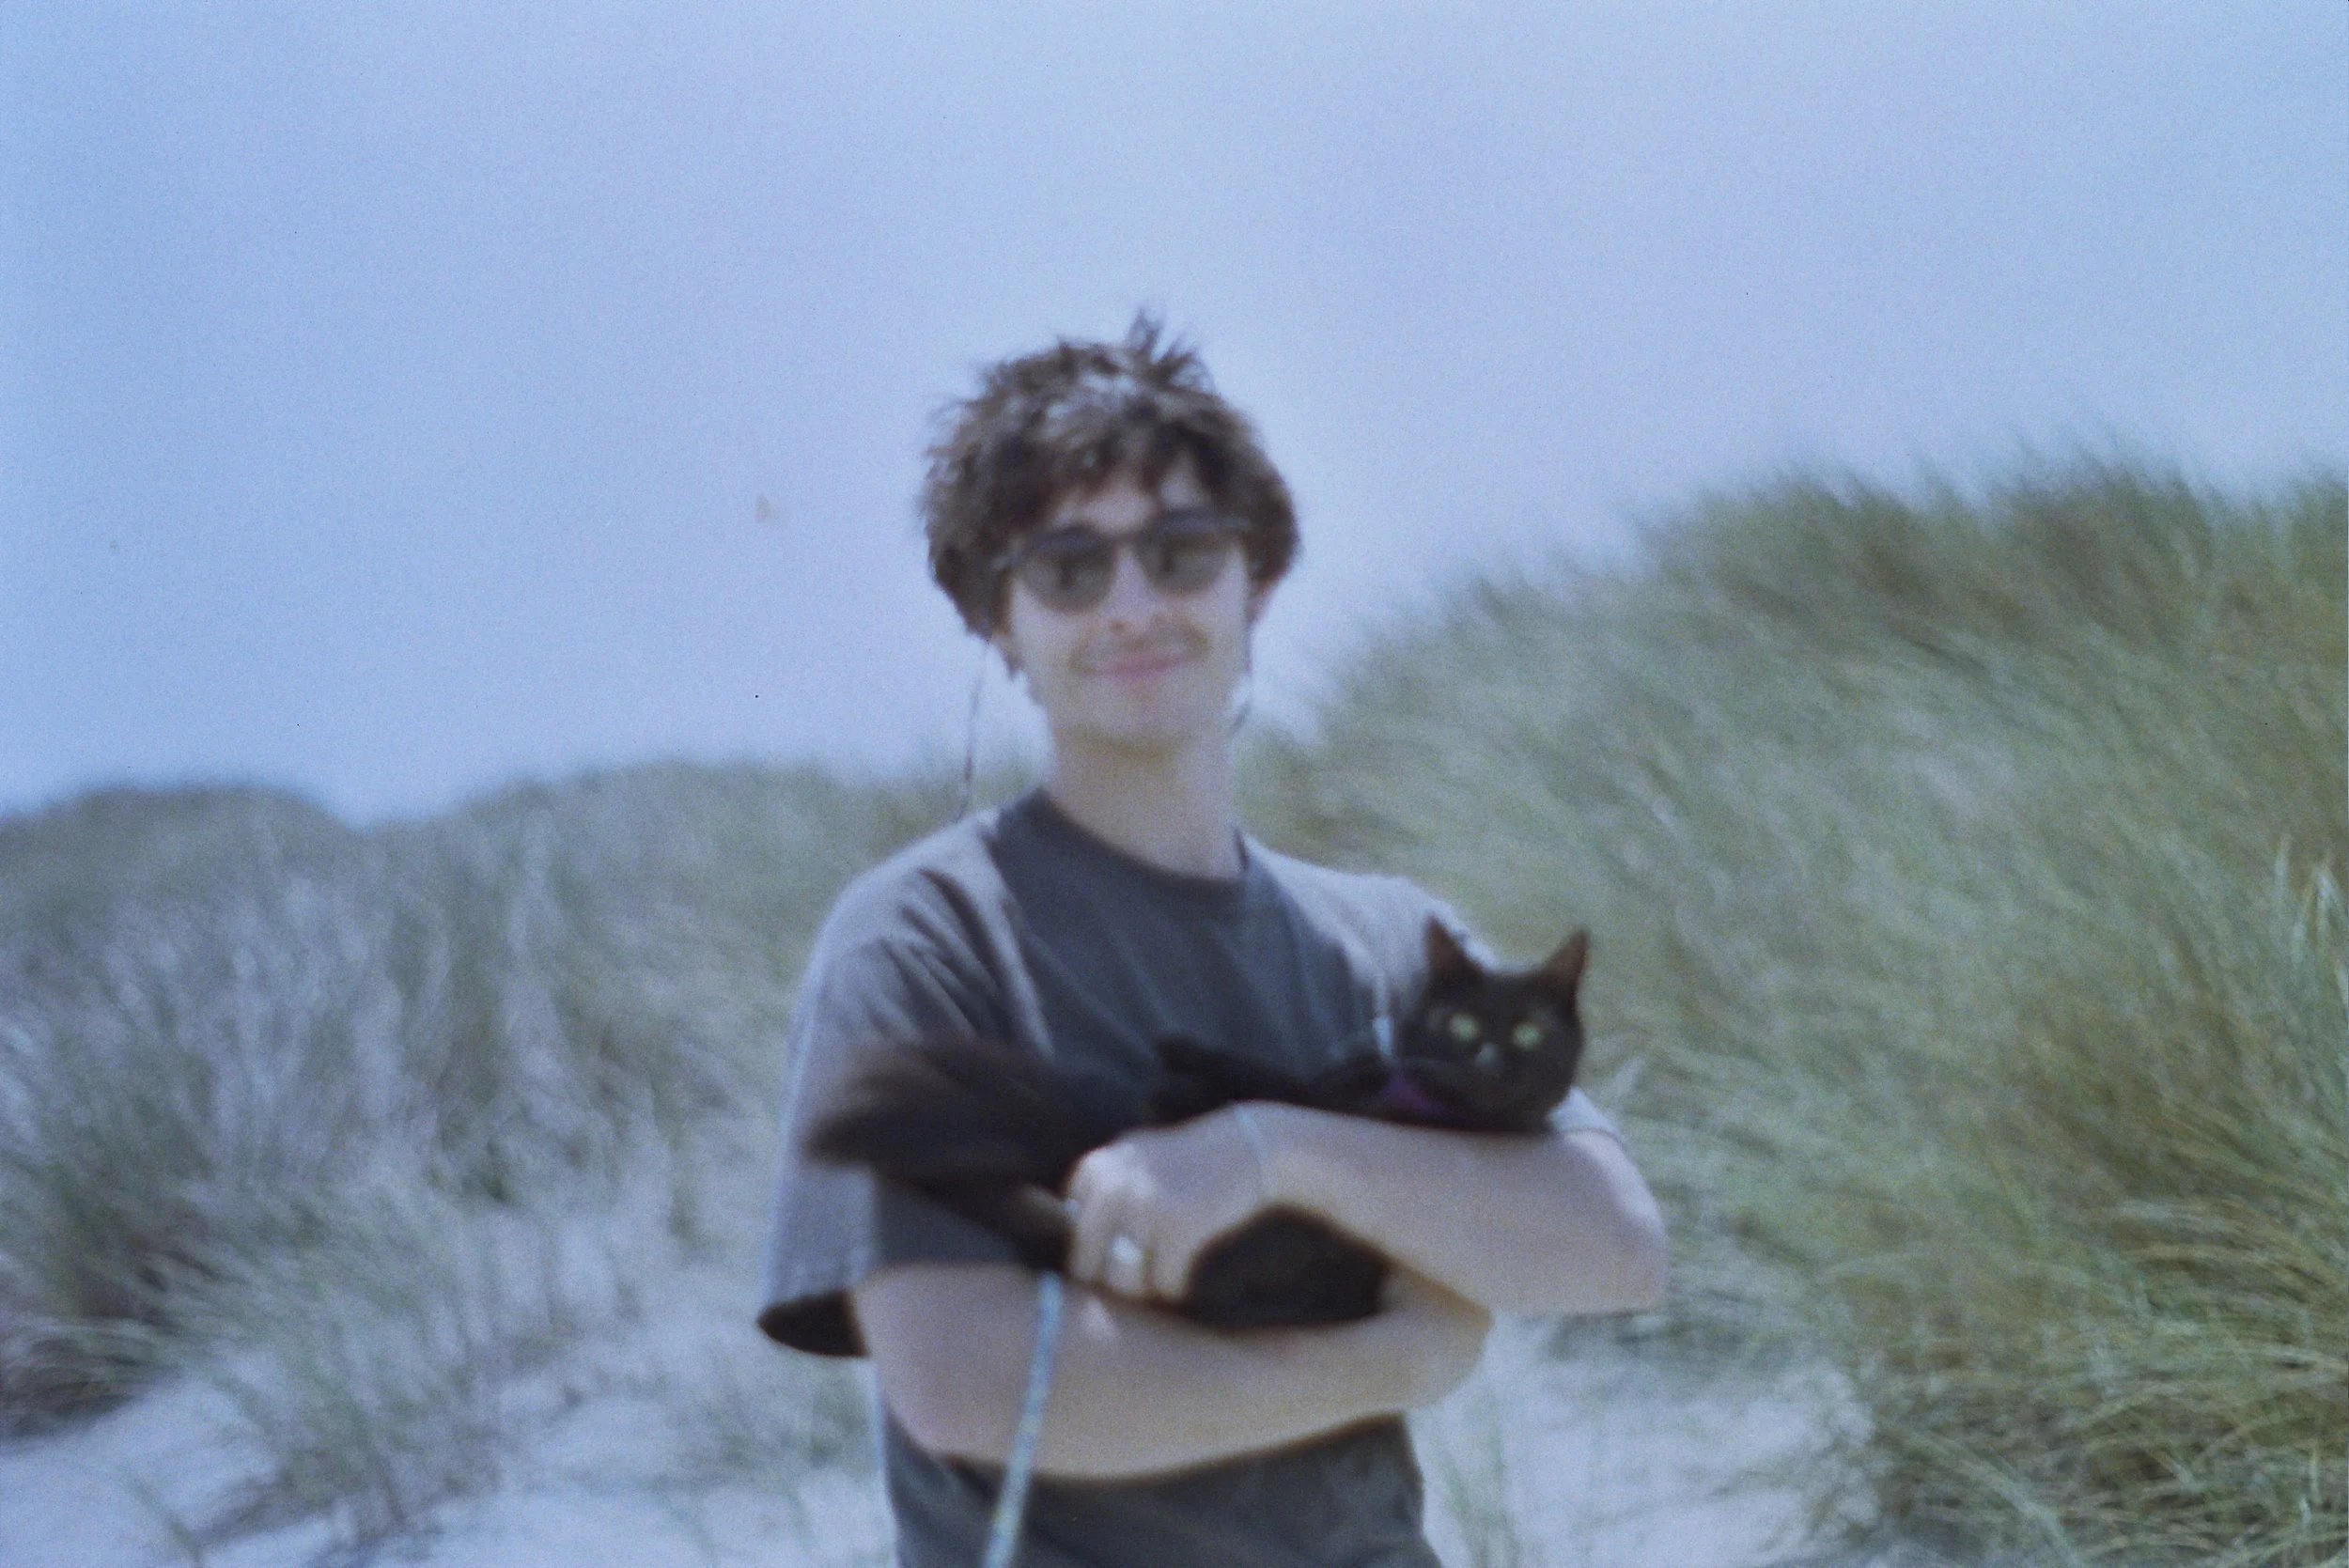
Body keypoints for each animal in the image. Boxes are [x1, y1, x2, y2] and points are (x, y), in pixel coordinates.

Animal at [804, 917, 1589, 1329]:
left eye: (1527, 1032)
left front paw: (1186, 1071)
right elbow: (1283, 1077)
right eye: (1462, 1024)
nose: (1491, 1062)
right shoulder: (1340, 1078)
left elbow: (1284, 1097)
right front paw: (1190, 1054)